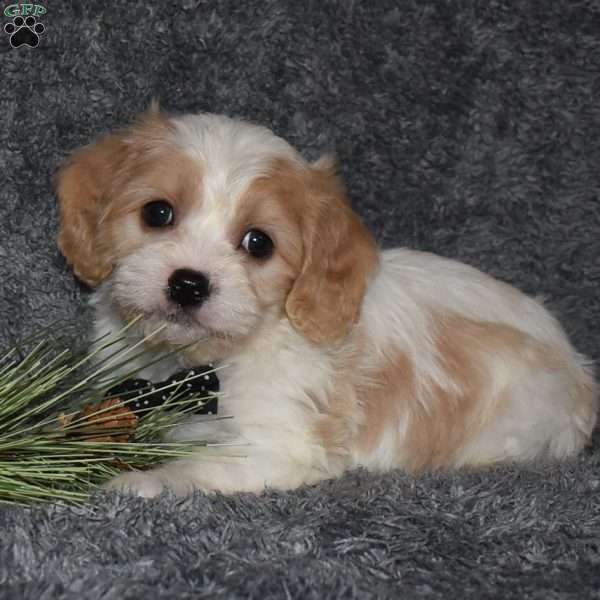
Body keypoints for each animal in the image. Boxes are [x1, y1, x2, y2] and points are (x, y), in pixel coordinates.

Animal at [55, 108, 596, 496]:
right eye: (158, 213)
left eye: (258, 243)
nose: (188, 283)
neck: (194, 367)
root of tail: (578, 368)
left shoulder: (277, 444)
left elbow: (197, 465)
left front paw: (139, 482)